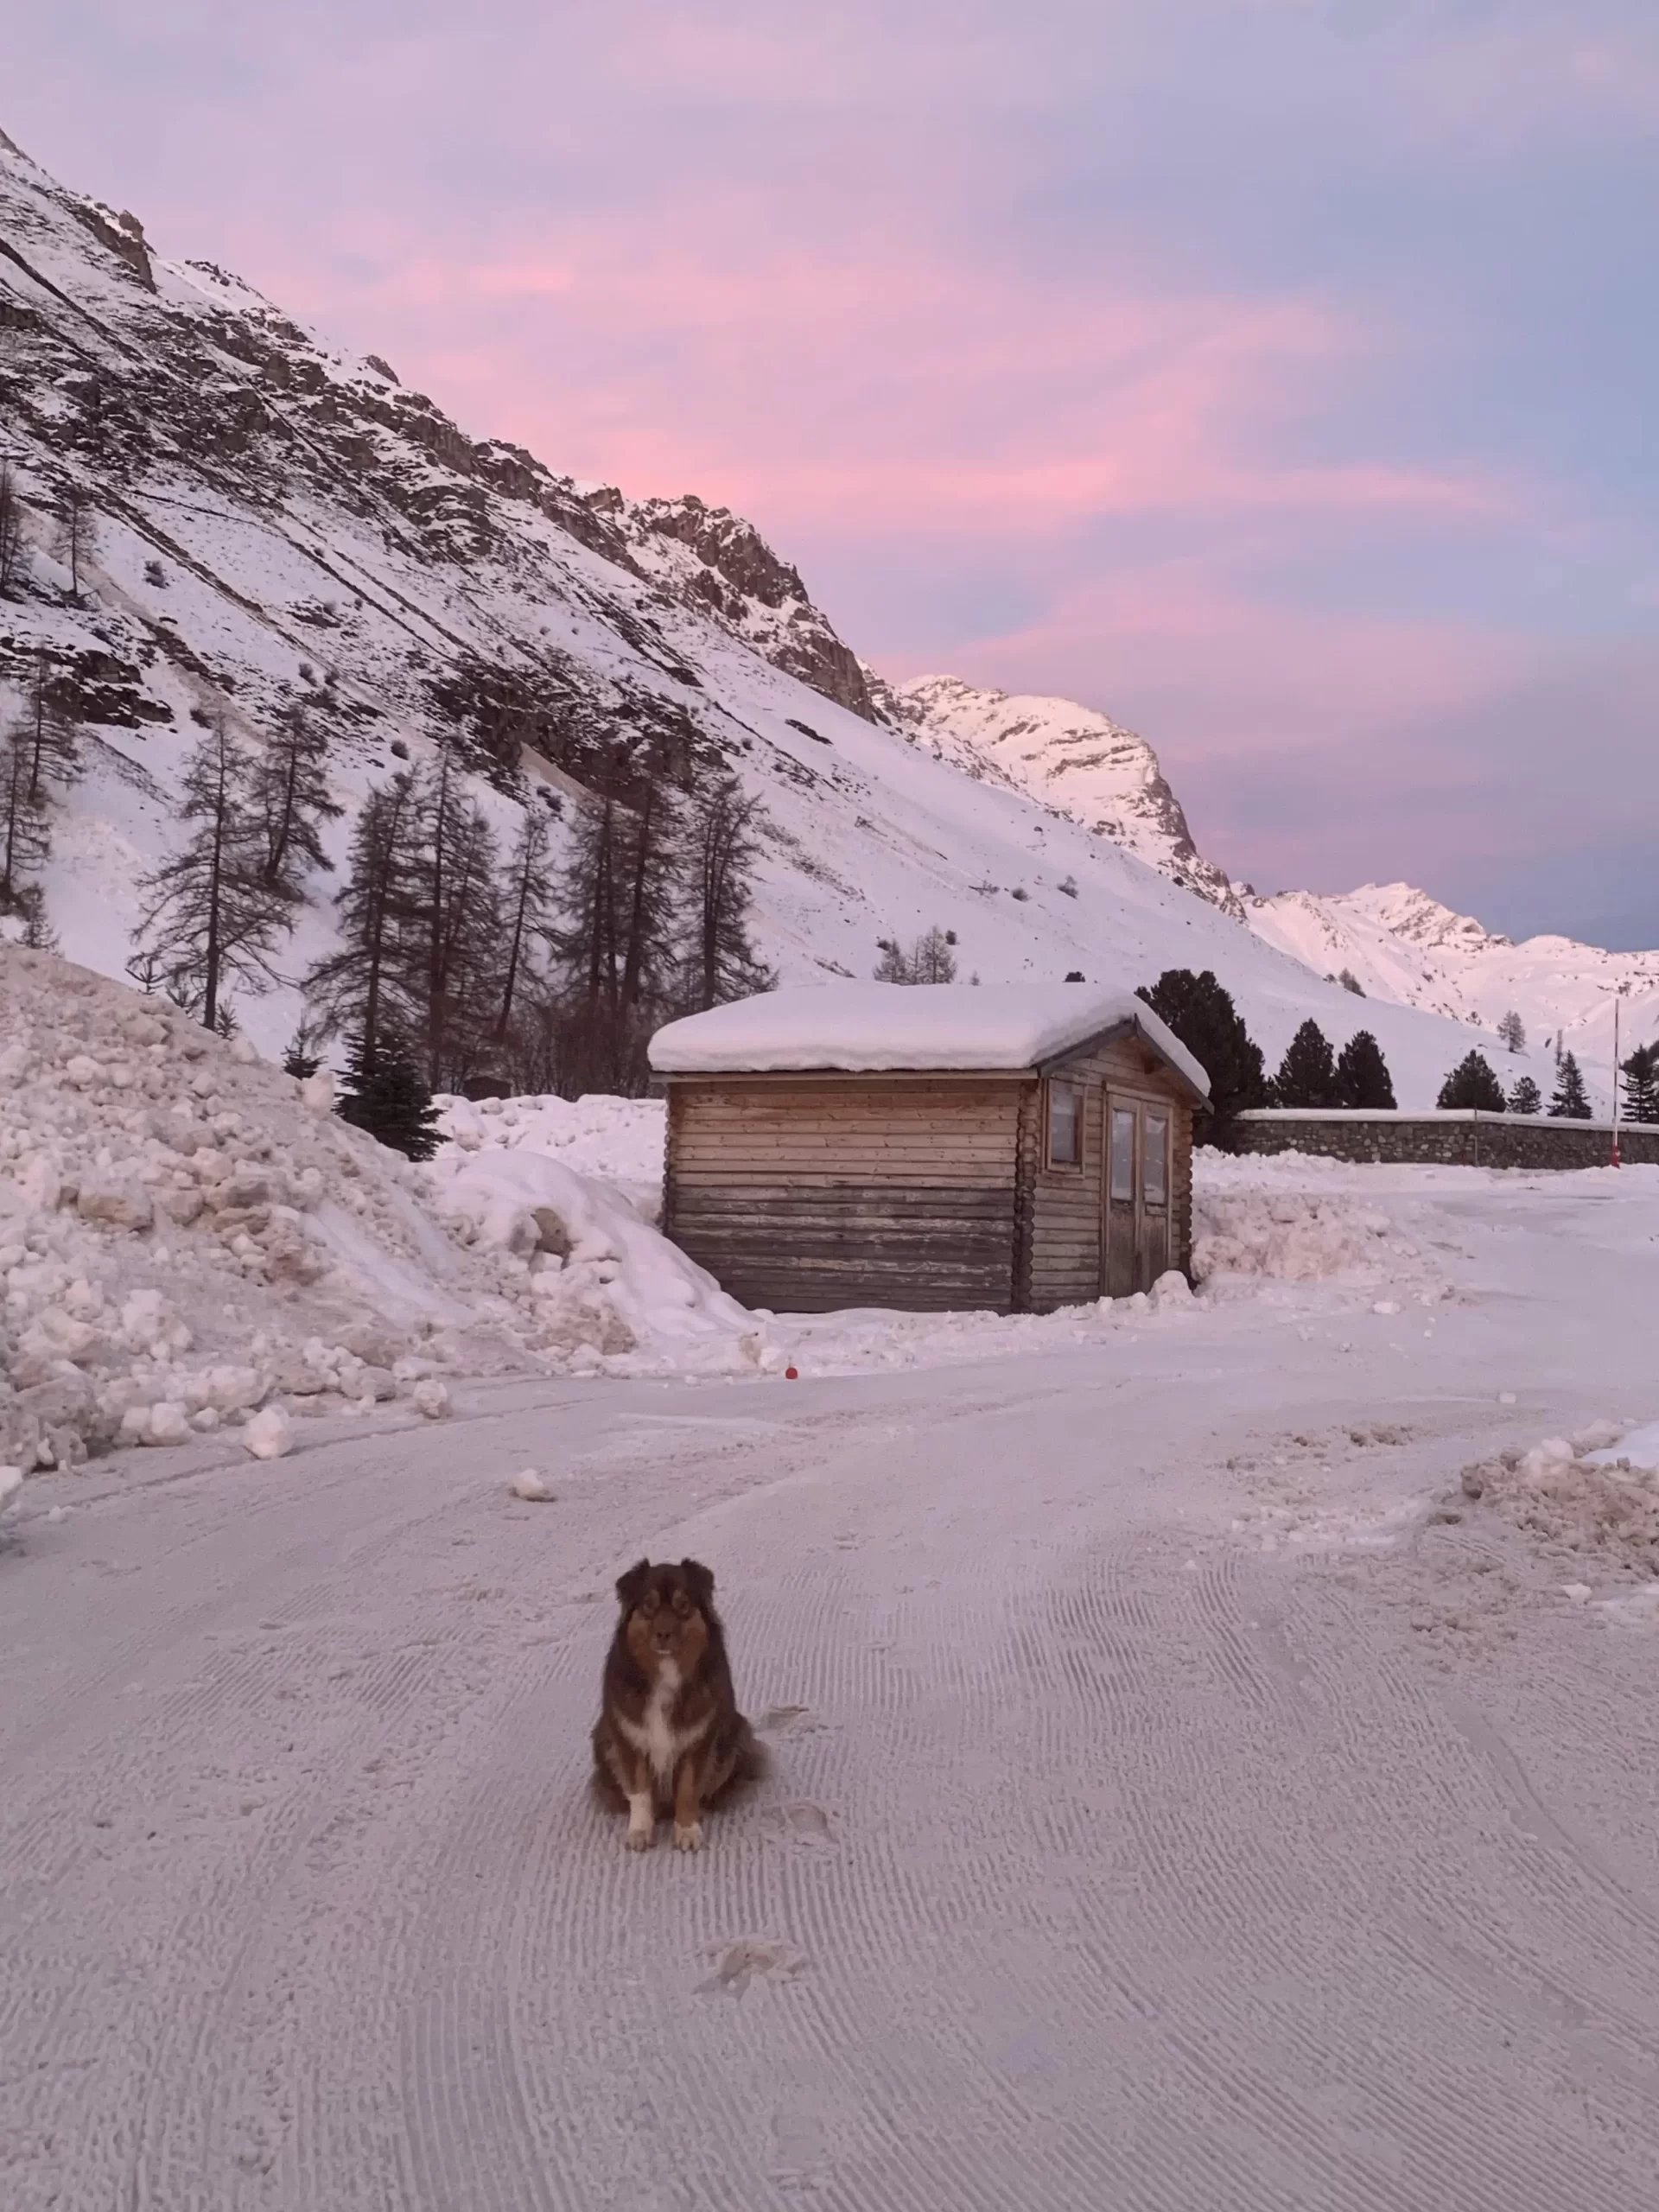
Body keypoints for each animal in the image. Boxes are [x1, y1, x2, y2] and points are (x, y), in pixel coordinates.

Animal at [593, 1557, 760, 1849]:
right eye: (648, 1605)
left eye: (683, 1604)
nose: (663, 1633)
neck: (666, 1672)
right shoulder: (629, 1739)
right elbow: (639, 1790)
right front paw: (640, 1831)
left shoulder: (698, 1740)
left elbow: (688, 1789)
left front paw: (687, 1830)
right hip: (602, 1739)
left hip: (737, 1736)